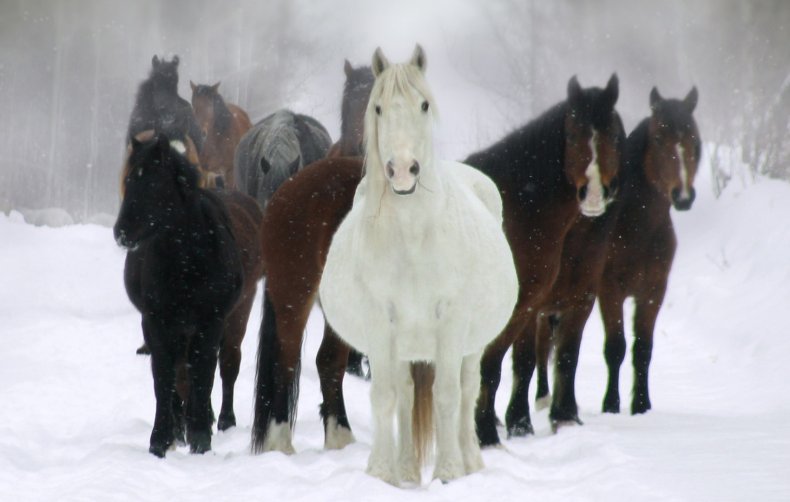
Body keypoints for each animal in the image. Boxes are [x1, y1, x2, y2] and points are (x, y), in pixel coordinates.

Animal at [116, 132, 266, 454]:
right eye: (129, 180)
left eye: (152, 183)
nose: (121, 232)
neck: (186, 259)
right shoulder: (157, 322)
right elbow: (165, 377)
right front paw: (162, 439)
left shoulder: (210, 322)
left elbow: (203, 374)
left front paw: (199, 438)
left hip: (237, 315)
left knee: (227, 364)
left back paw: (222, 420)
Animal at [318, 45, 524, 484]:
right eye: (378, 107)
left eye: (424, 104)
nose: (401, 170)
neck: (414, 238)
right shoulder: (381, 323)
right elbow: (386, 396)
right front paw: (382, 473)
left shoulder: (451, 322)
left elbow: (447, 396)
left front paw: (449, 472)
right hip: (403, 346)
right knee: (406, 394)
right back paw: (407, 470)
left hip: (471, 346)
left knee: (467, 390)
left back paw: (470, 461)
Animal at [464, 75, 624, 448]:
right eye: (573, 134)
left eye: (613, 135)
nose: (594, 195)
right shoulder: (518, 308)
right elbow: (493, 367)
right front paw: (487, 433)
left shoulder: (564, 302)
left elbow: (563, 357)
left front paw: (562, 418)